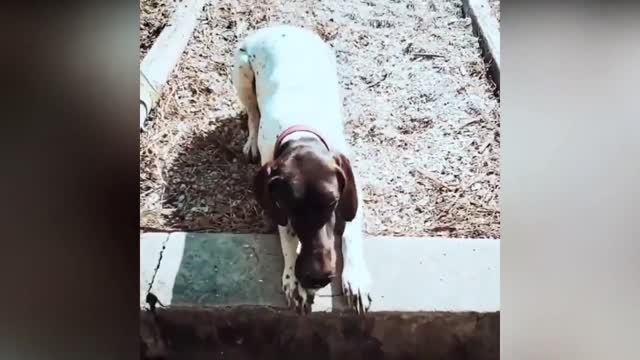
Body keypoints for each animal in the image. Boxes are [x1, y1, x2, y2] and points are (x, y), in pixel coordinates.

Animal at [231, 25, 372, 314]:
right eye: (290, 206)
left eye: (333, 203)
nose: (317, 278)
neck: (302, 132)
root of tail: (279, 27)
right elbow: (288, 238)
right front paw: (293, 281)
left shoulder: (353, 190)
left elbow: (350, 234)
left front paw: (355, 278)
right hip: (241, 71)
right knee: (252, 113)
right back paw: (250, 140)